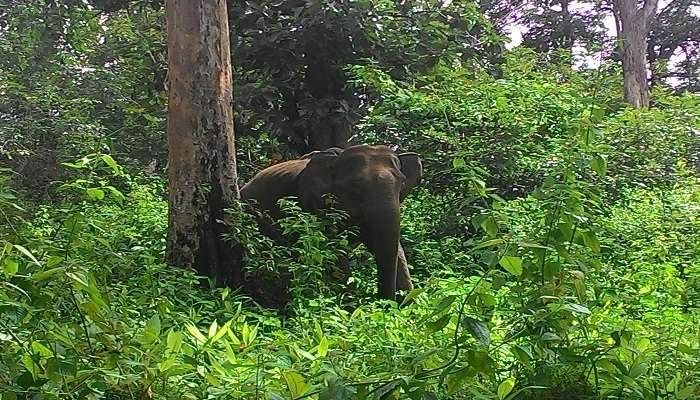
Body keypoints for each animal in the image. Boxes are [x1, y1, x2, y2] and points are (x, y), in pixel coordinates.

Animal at [241, 144, 422, 300]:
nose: (385, 303)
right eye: (356, 185)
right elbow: (333, 250)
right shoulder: (313, 204)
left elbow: (394, 249)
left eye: (402, 183)